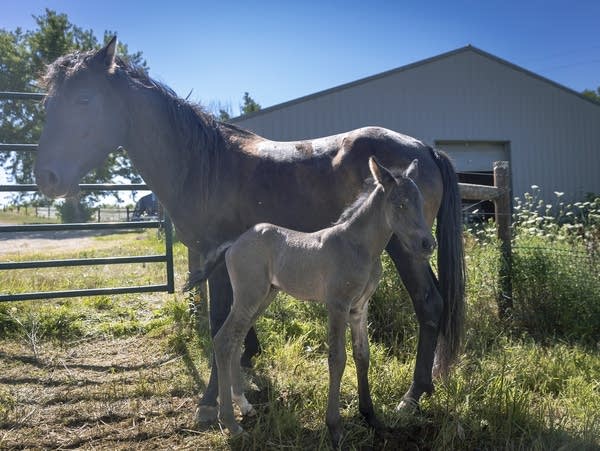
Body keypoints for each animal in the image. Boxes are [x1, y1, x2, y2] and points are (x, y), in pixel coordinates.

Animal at [32, 38, 466, 430]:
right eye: (47, 104)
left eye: (84, 99)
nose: (46, 177)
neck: (204, 165)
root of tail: (425, 149)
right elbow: (238, 331)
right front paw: (242, 389)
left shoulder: (215, 258)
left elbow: (217, 325)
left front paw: (211, 404)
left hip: (408, 248)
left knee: (429, 304)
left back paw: (412, 396)